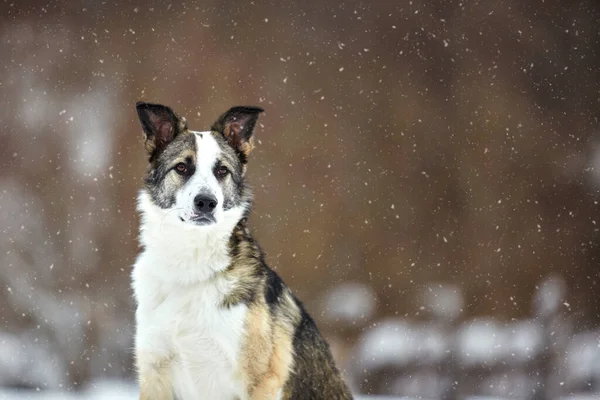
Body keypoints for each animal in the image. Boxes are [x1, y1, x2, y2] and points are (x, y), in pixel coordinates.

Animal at [131, 103, 354, 400]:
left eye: (222, 171)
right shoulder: (155, 374)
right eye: (182, 167)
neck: (190, 263)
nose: (206, 202)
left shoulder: (260, 381)